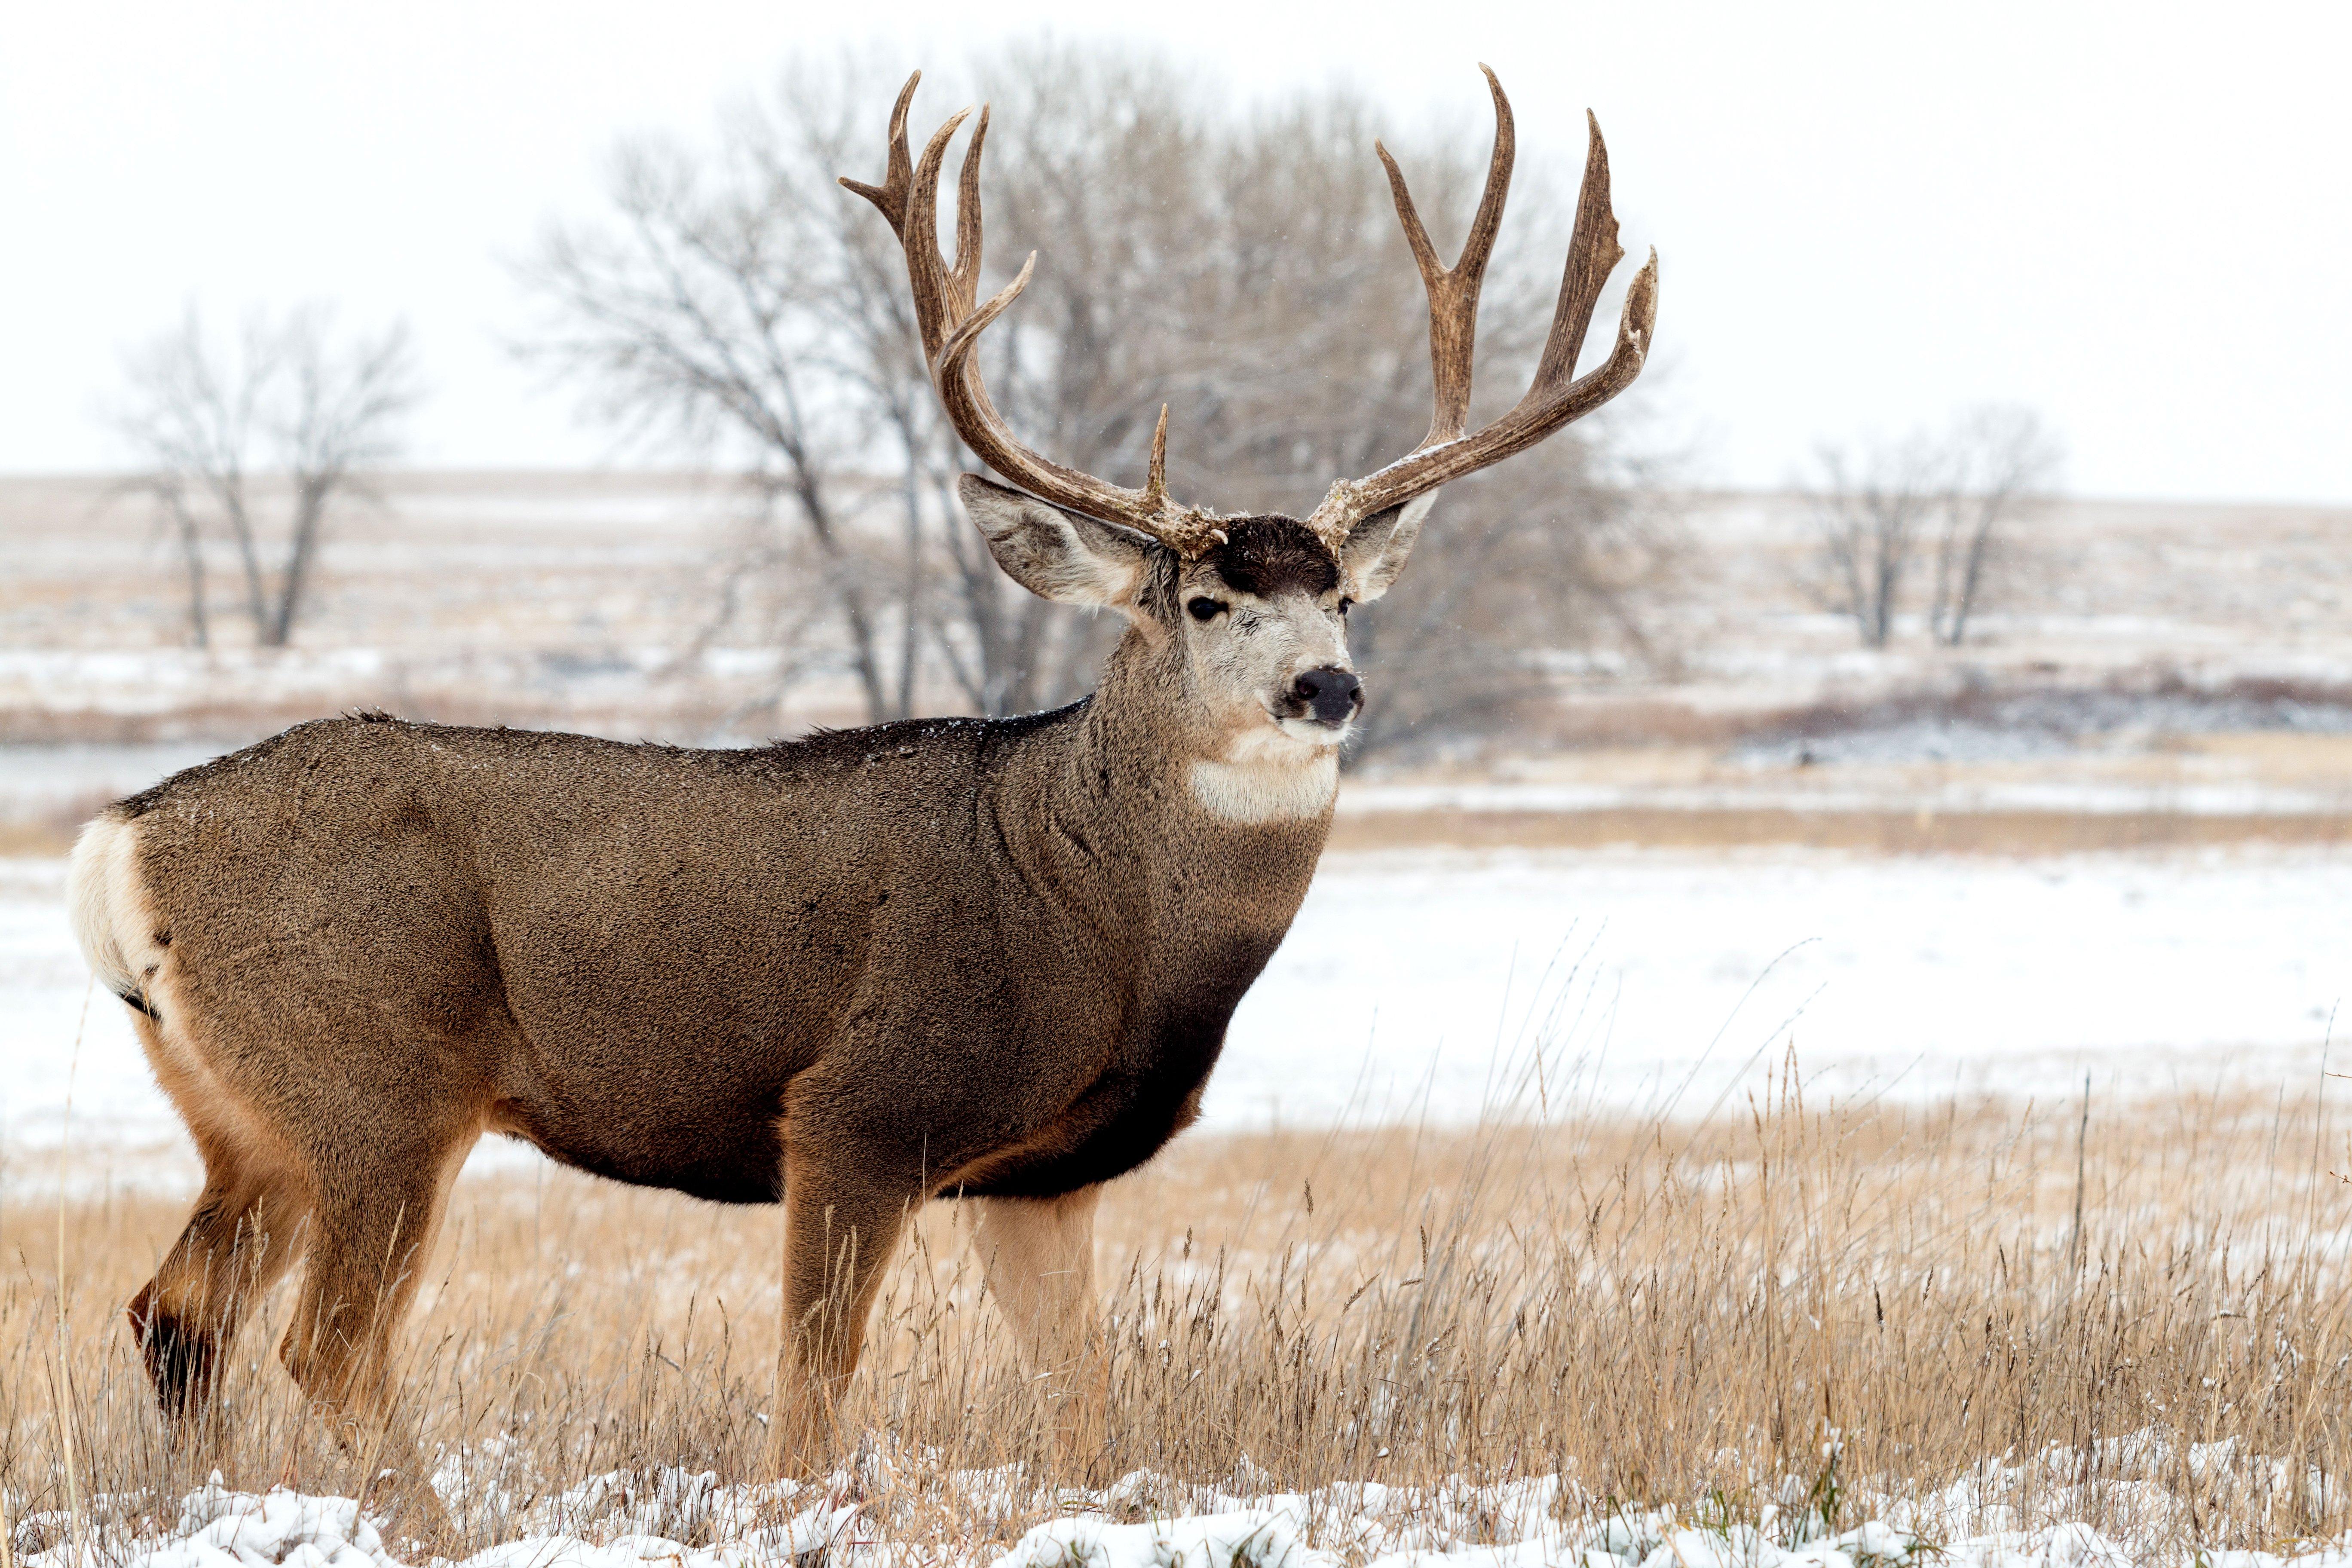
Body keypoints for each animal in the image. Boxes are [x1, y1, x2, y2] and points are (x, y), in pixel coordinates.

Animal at [69, 64, 1656, 1495]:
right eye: (1204, 604)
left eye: (1344, 601)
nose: (1327, 687)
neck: (1098, 909)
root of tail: (119, 842)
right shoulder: (860, 1106)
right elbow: (812, 1391)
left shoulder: (1040, 1174)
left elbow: (1085, 1399)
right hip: (378, 1083)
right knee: (327, 1345)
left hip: (247, 1114)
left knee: (176, 1316)